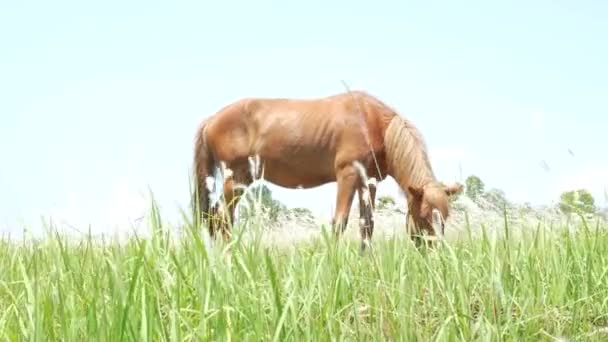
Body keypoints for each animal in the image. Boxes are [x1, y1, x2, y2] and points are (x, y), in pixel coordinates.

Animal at [192, 89, 464, 250]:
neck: (372, 121)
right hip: (236, 180)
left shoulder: (369, 181)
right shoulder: (348, 174)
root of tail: (212, 119)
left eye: (445, 217)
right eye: (425, 216)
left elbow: (367, 224)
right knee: (222, 218)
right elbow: (340, 221)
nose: (435, 253)